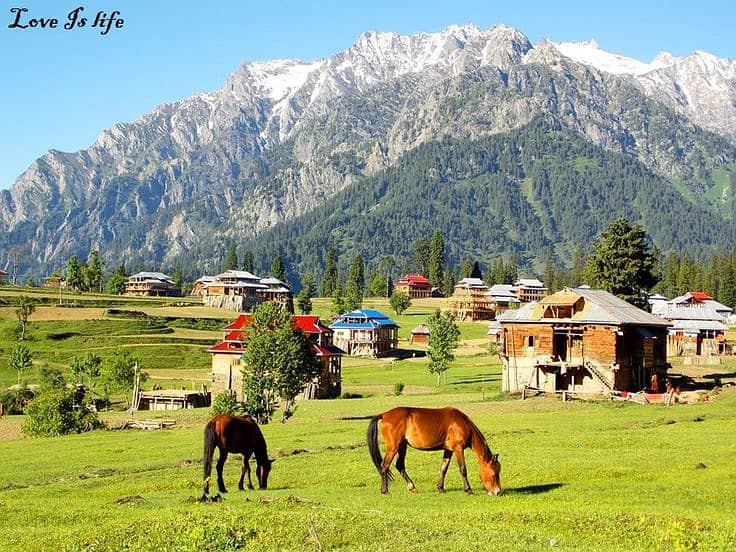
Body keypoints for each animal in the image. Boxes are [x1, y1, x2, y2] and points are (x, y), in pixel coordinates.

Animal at [366, 406, 504, 496]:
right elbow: (463, 469)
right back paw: (385, 491)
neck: (462, 424)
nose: (497, 492)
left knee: (400, 466)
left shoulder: (449, 450)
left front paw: (440, 488)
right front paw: (468, 490)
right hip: (393, 448)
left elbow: (443, 468)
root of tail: (385, 414)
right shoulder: (458, 449)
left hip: (402, 446)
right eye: (494, 474)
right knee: (384, 466)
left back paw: (412, 487)